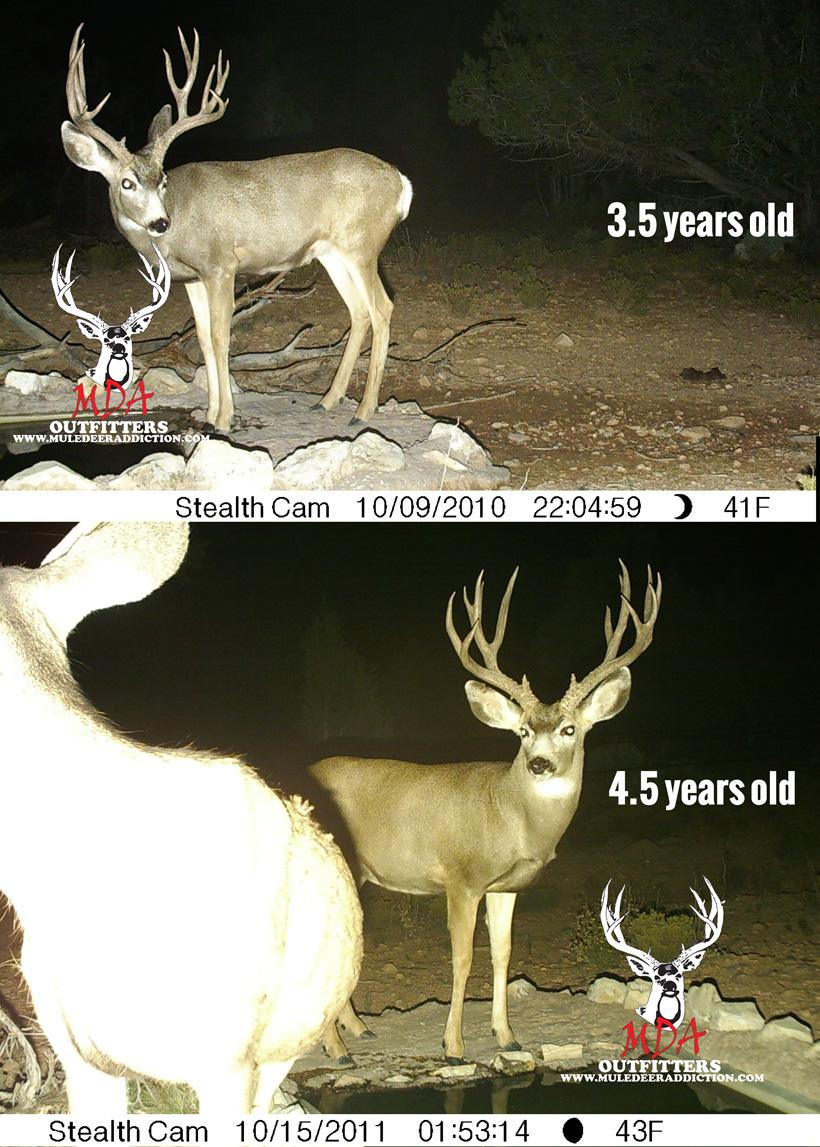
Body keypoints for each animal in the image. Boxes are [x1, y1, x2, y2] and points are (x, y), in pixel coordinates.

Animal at [61, 25, 413, 434]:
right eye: (127, 183)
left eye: (162, 180)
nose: (160, 223)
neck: (175, 230)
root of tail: (402, 183)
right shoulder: (192, 278)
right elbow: (202, 339)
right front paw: (210, 413)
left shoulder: (221, 265)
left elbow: (220, 336)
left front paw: (224, 419)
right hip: (332, 254)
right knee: (359, 312)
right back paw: (327, 401)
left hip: (362, 245)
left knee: (382, 307)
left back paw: (364, 410)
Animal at [311, 561, 661, 1064]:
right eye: (522, 732)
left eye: (569, 729)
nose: (539, 763)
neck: (511, 817)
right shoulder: (461, 878)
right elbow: (462, 958)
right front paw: (453, 1044)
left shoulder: (506, 887)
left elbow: (504, 954)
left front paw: (507, 1035)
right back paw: (336, 1048)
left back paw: (358, 1030)